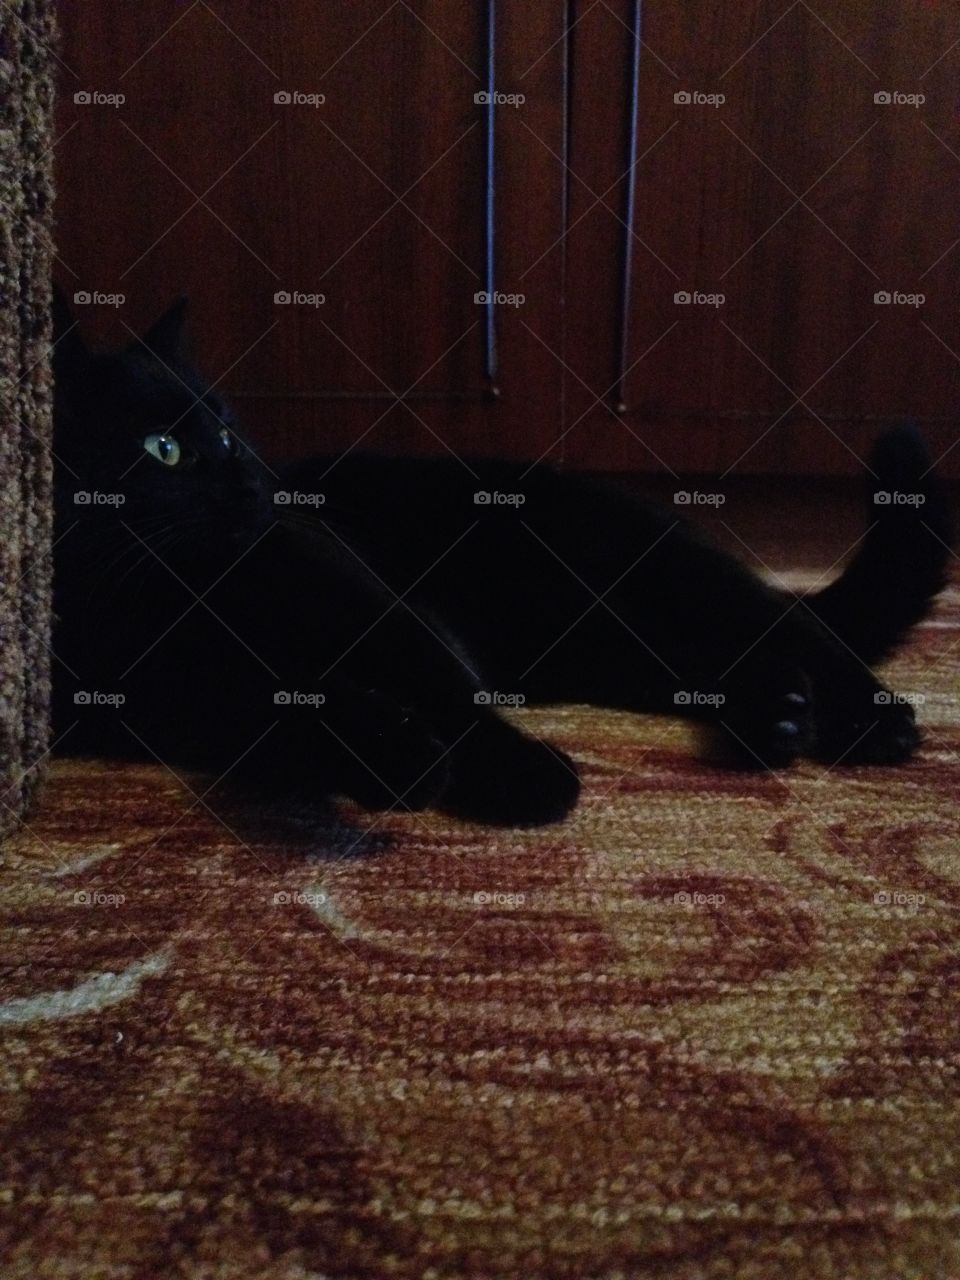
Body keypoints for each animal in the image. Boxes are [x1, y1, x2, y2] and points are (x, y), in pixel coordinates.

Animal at [50, 293, 957, 824]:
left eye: (230, 431)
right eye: (165, 449)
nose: (250, 480)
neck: (174, 605)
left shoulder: (368, 601)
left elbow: (441, 685)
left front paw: (521, 775)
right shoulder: (187, 704)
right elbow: (297, 720)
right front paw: (401, 762)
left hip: (657, 581)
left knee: (798, 629)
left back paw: (868, 721)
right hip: (609, 648)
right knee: (720, 662)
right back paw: (779, 719)